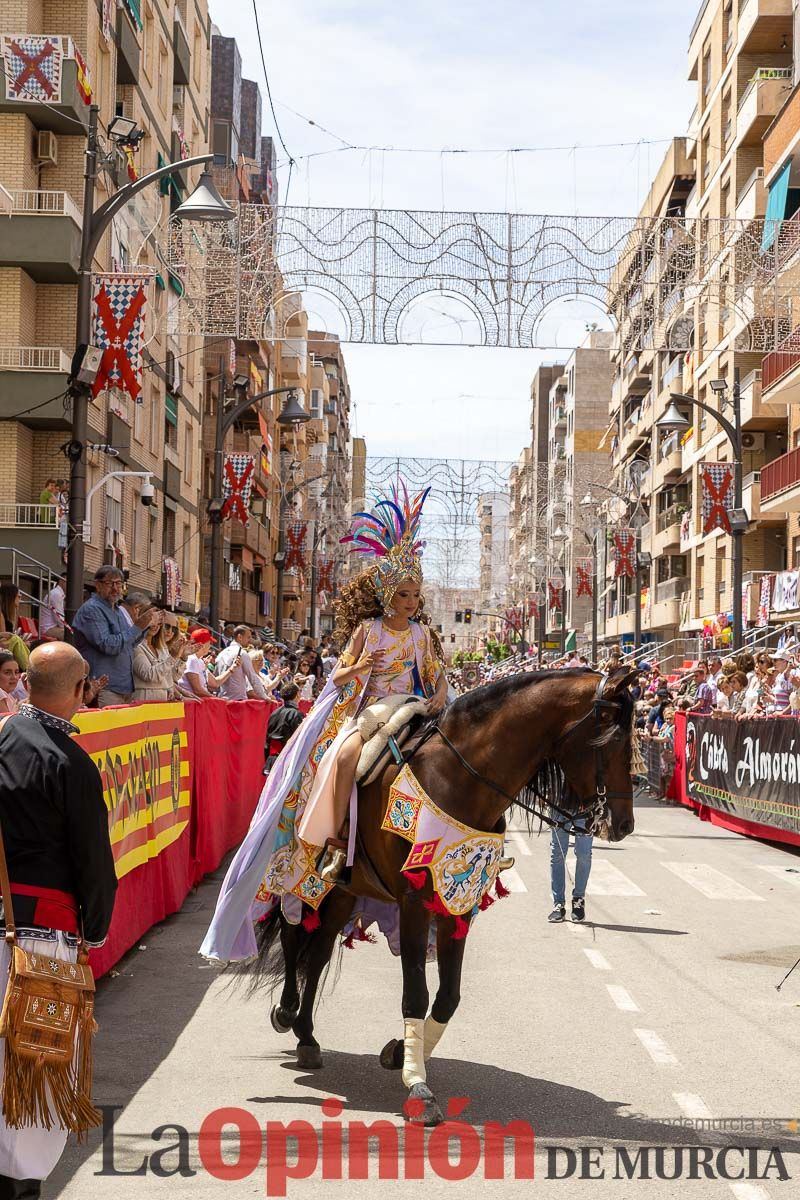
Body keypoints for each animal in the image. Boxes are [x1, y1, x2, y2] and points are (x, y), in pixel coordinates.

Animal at [253, 667, 633, 1123]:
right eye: (611, 739)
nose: (623, 824)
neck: (460, 777)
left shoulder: (458, 904)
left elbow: (448, 997)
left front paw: (399, 1052)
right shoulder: (415, 901)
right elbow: (416, 993)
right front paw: (418, 1088)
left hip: (346, 889)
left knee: (321, 949)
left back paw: (307, 1036)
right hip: (306, 877)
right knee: (294, 933)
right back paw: (286, 1012)